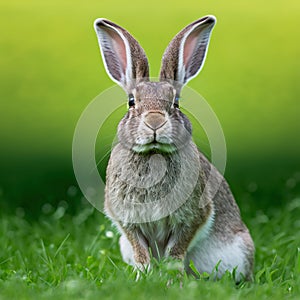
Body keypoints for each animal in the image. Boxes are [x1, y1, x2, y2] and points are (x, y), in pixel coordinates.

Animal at [94, 15, 255, 282]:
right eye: (131, 102)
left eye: (176, 103)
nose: (154, 122)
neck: (154, 154)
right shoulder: (128, 222)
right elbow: (141, 254)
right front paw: (143, 279)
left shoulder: (192, 217)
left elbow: (175, 252)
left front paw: (171, 281)